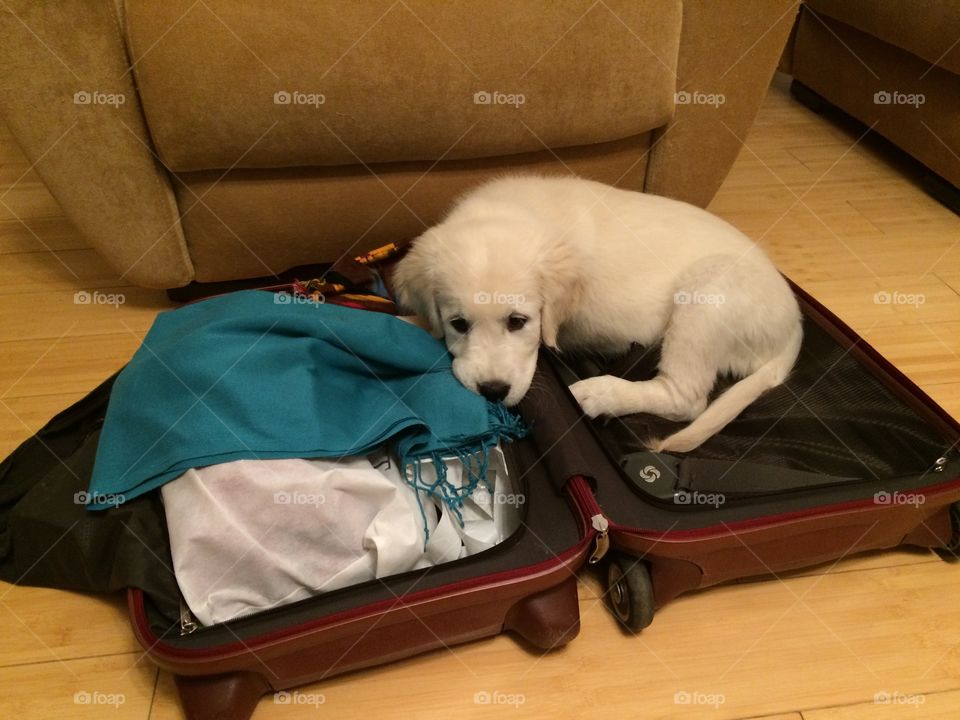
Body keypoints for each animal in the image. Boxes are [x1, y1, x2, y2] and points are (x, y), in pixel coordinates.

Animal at [390, 175, 804, 452]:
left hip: (707, 291)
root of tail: (794, 327)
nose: (493, 391)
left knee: (686, 397)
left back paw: (599, 393)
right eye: (458, 324)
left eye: (518, 322)